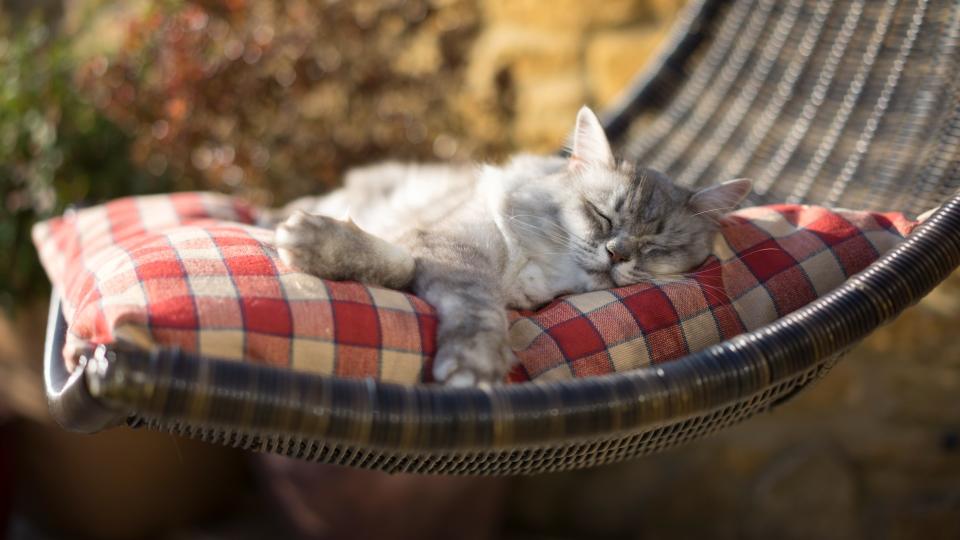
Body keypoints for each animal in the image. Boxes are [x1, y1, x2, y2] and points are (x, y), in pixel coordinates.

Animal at [270, 106, 752, 384]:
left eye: (656, 244)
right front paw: (475, 367)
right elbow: (469, 302)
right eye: (602, 215)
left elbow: (406, 267)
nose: (617, 253)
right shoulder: (453, 249)